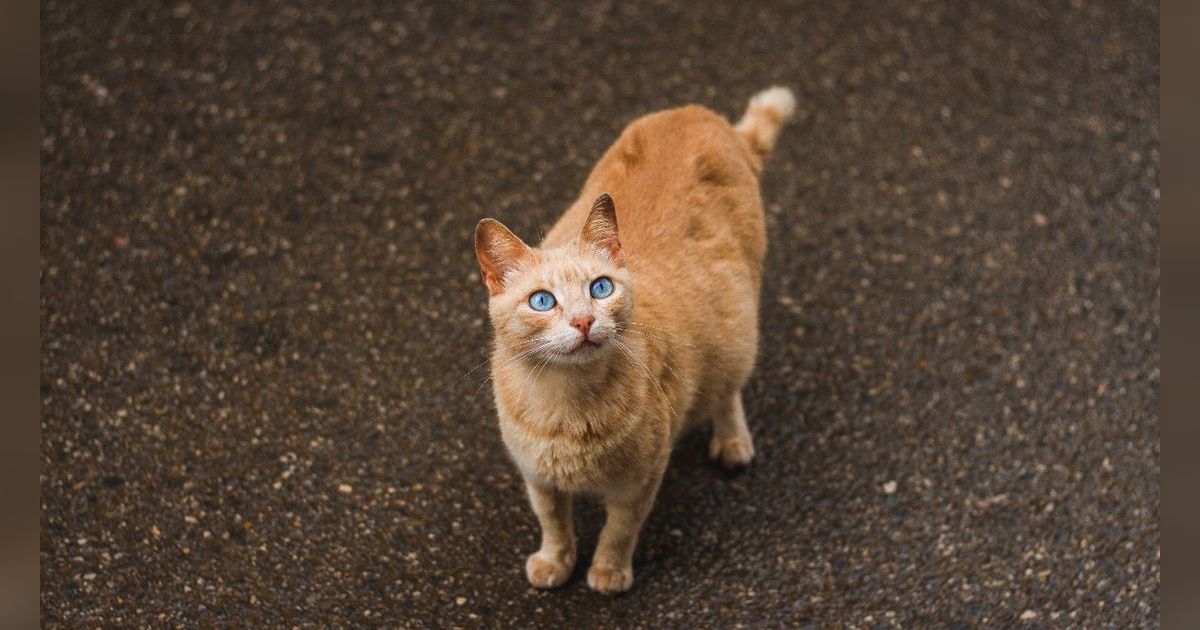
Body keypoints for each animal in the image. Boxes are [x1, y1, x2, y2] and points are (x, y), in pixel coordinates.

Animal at [470, 85, 796, 592]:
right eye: (542, 301)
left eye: (600, 288)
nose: (583, 321)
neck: (566, 406)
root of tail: (702, 115)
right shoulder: (537, 478)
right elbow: (553, 524)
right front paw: (556, 562)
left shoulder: (640, 482)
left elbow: (619, 531)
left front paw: (607, 572)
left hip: (739, 330)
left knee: (728, 389)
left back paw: (733, 442)